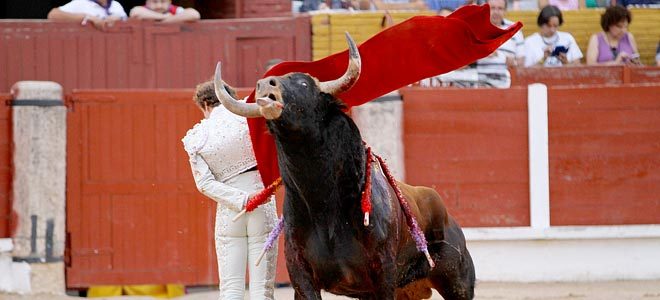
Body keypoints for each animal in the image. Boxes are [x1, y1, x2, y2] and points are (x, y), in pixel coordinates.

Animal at [214, 34, 476, 298]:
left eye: (304, 83)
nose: (264, 85)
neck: (323, 204)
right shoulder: (300, 275)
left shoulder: (384, 274)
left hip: (457, 281)